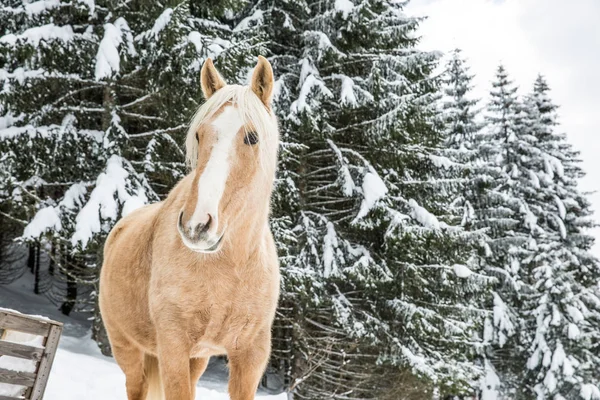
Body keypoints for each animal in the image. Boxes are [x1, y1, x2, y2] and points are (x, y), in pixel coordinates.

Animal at [100, 56, 282, 400]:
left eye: (252, 137)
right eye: (198, 135)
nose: (197, 225)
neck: (231, 268)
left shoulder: (250, 356)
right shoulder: (173, 346)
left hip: (196, 359)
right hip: (127, 349)